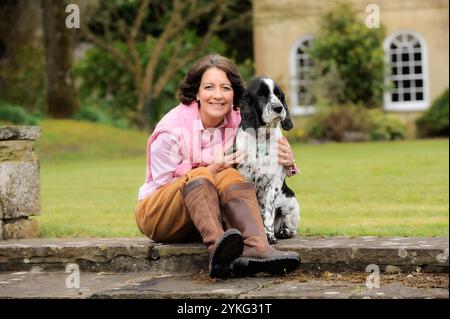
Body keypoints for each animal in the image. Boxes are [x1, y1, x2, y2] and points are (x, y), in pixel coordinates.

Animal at [234, 78, 300, 245]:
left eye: (279, 94)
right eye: (261, 95)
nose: (279, 108)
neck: (262, 137)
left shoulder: (275, 181)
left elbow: (268, 211)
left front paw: (268, 236)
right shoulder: (244, 178)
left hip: (290, 202)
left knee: (291, 226)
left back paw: (284, 232)